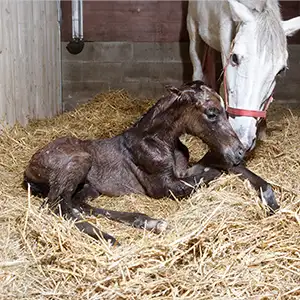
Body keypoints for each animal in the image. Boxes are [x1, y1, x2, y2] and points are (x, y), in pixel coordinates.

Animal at [188, 0, 300, 150]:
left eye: (281, 70)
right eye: (234, 58)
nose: (243, 139)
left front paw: (262, 132)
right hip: (193, 29)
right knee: (197, 69)